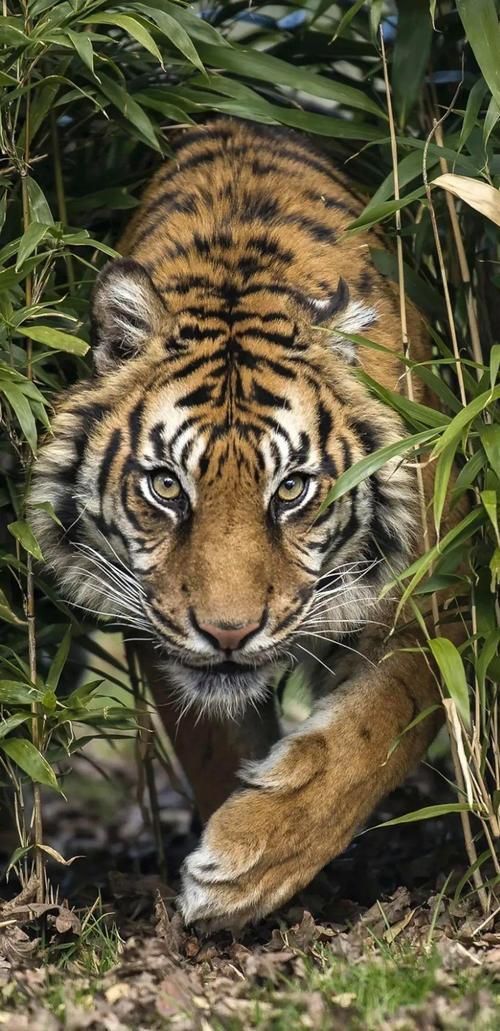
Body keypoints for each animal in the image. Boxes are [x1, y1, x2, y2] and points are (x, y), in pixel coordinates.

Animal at [30, 117, 458, 929]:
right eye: (167, 486)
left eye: (291, 490)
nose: (228, 634)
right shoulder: (152, 620)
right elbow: (210, 741)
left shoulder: (434, 590)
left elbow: (379, 728)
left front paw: (247, 863)